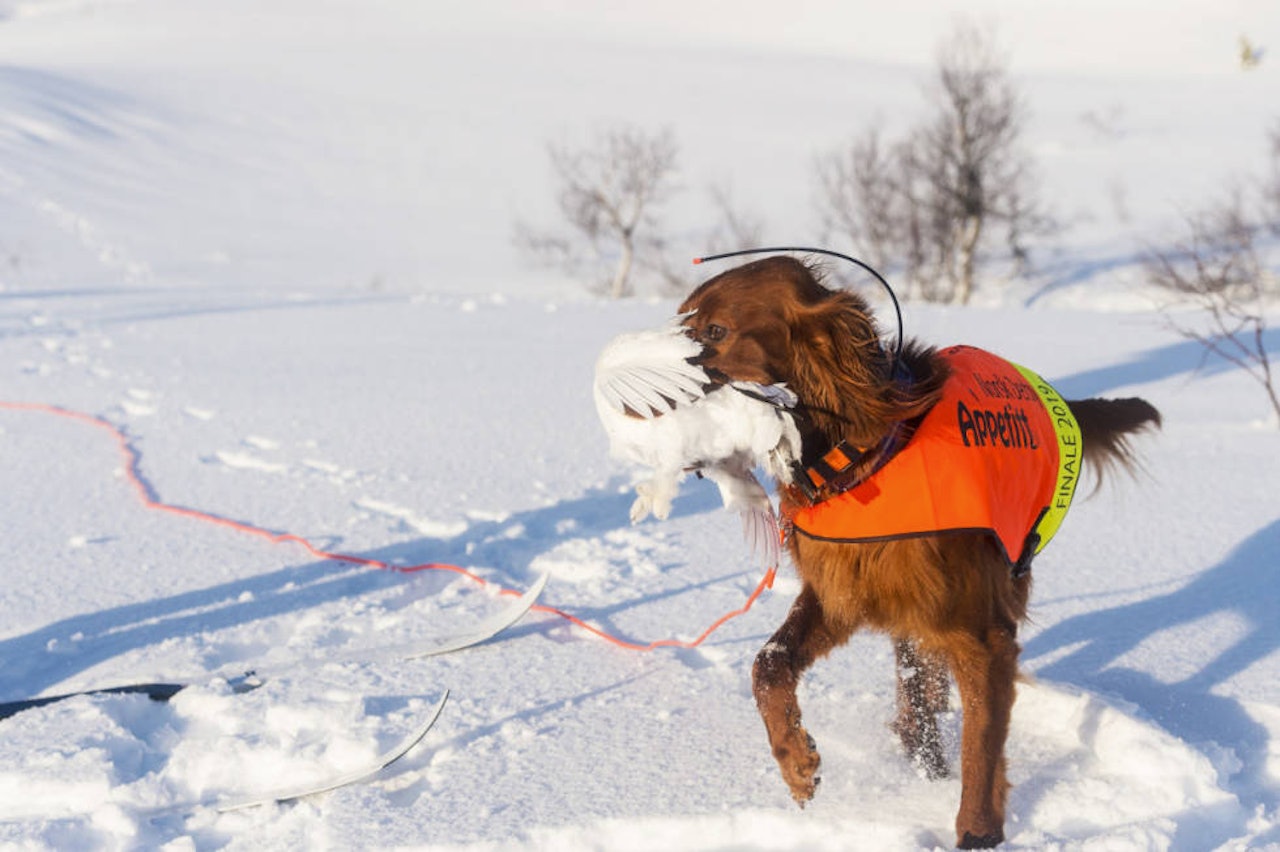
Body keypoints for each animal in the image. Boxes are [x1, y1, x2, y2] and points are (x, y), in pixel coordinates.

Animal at [680, 255, 1162, 844]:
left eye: (715, 331)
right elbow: (767, 663)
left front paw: (978, 834)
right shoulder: (841, 590)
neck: (859, 459)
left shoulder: (984, 635)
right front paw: (797, 763)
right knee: (916, 691)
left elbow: (981, 747)